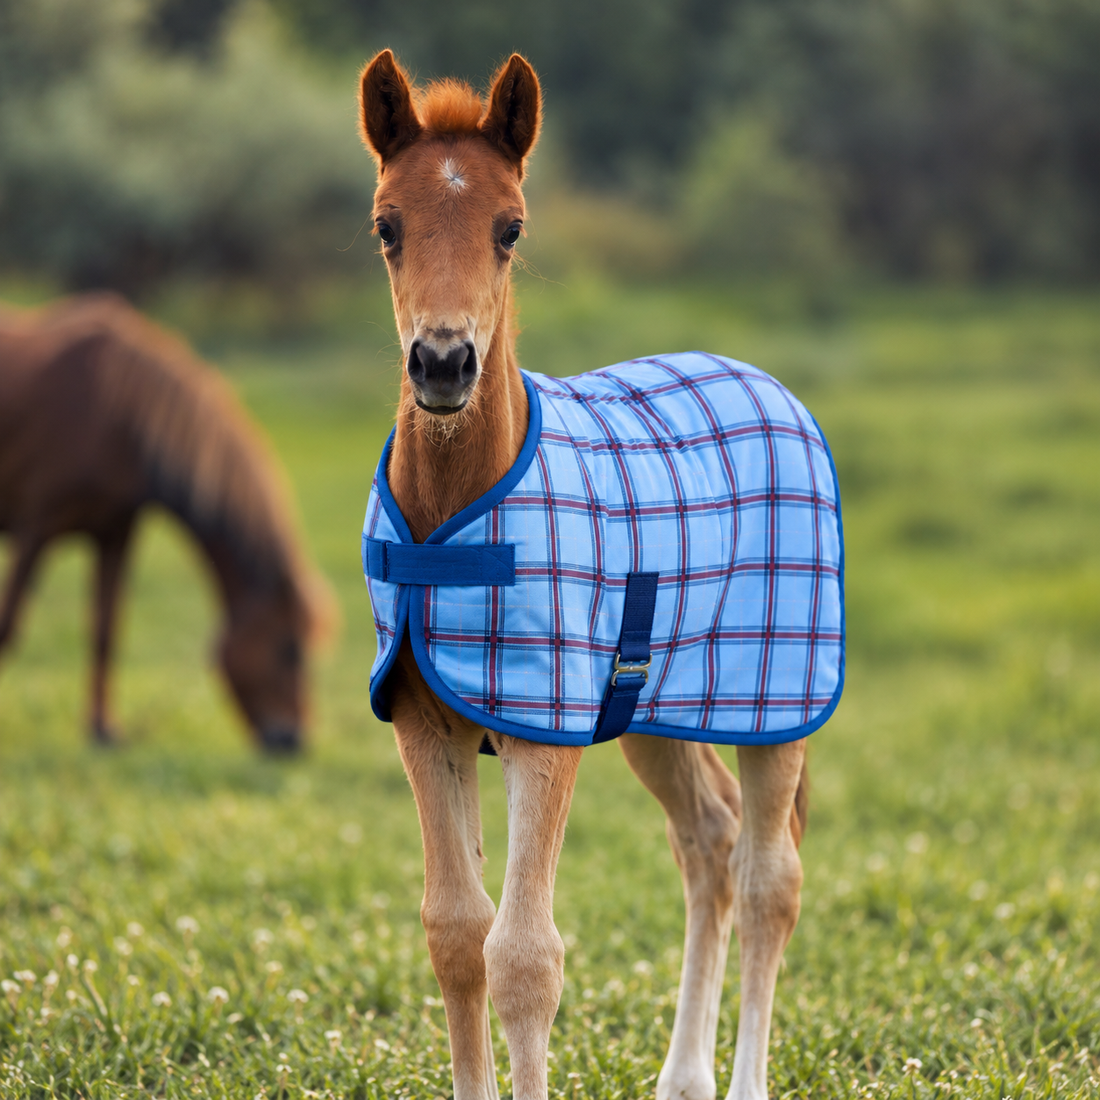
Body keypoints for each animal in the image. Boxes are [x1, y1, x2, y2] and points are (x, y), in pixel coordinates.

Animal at [0, 292, 333, 751]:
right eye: (290, 650)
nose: (293, 740)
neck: (115, 410)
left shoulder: (114, 534)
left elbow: (105, 632)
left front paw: (102, 730)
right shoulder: (35, 530)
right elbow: (7, 629)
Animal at [356, 52, 843, 1100]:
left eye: (510, 228)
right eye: (386, 225)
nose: (444, 364)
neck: (456, 513)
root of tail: (769, 385)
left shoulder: (545, 735)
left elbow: (524, 956)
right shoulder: (425, 722)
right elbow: (456, 935)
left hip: (778, 704)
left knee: (768, 877)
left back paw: (740, 1079)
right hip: (656, 713)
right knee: (708, 842)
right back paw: (683, 1078)